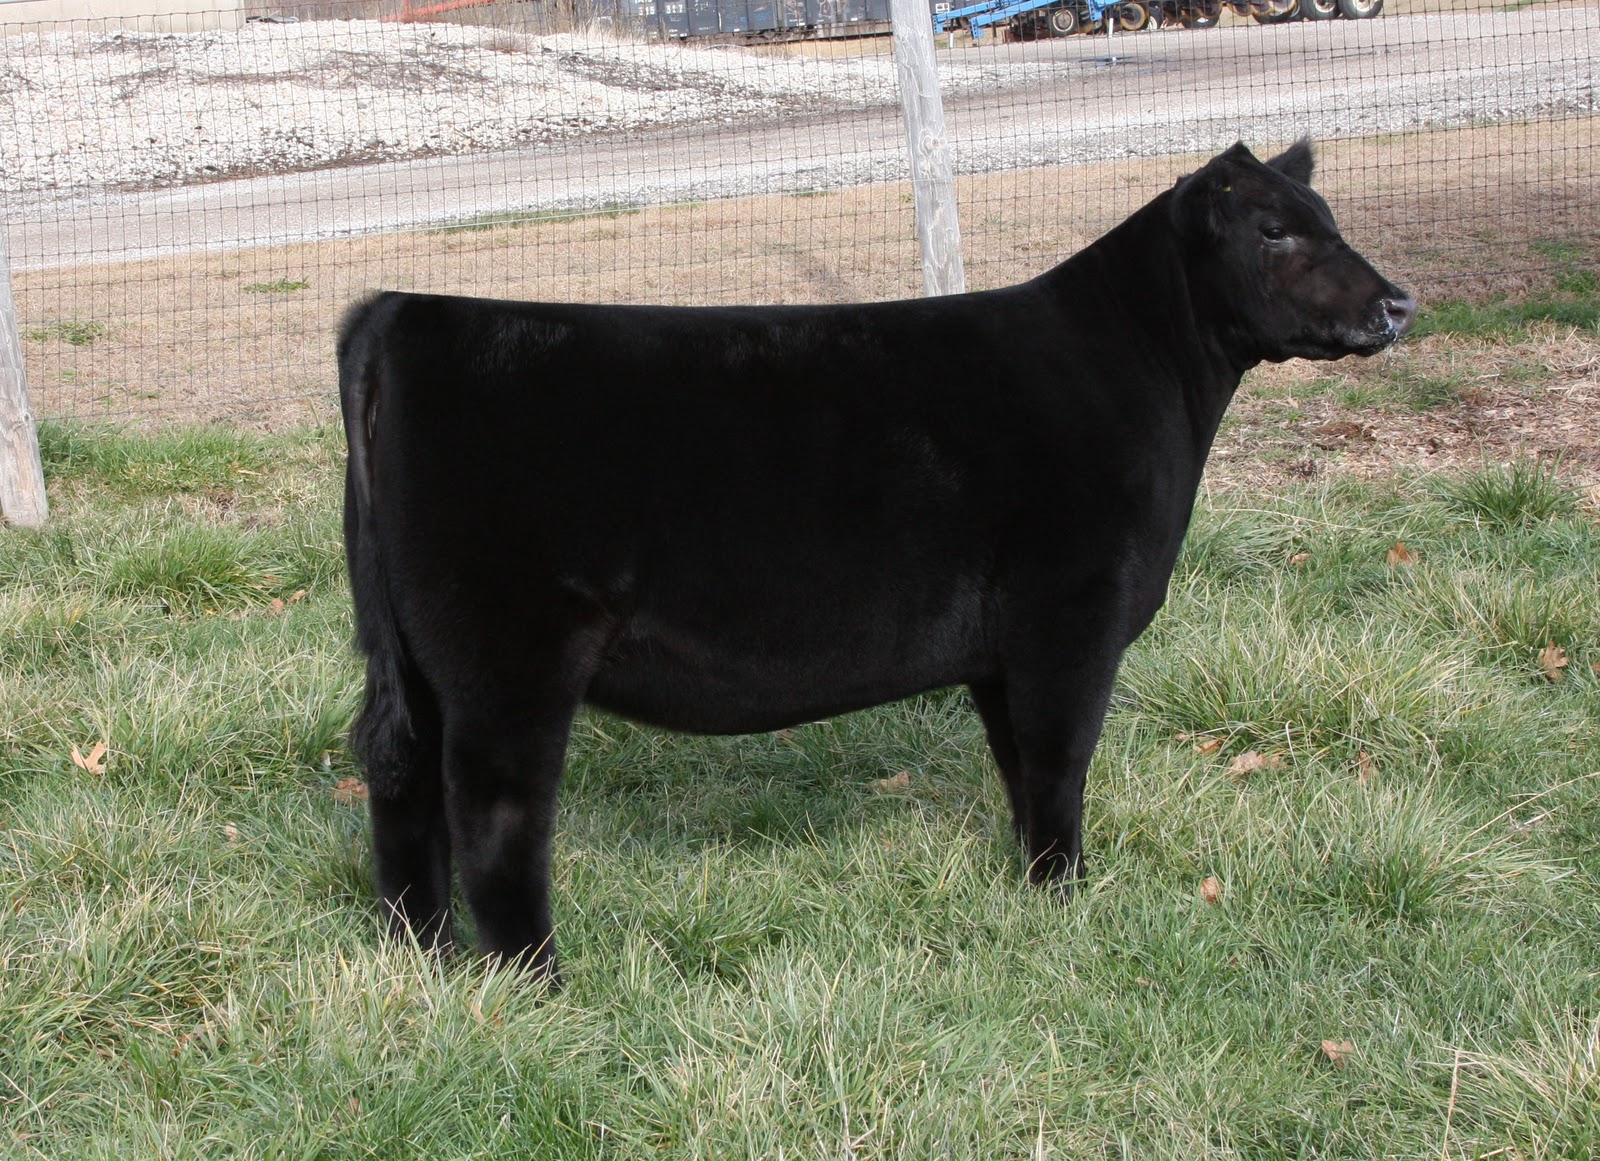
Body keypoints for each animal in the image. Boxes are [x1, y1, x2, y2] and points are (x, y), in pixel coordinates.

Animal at [338, 140, 1414, 981]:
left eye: (1327, 216)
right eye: (1273, 231)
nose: (1399, 302)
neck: (1141, 373)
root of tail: (403, 309)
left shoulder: (1000, 650)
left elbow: (1019, 768)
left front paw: (1032, 894)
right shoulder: (1072, 615)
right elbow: (1061, 762)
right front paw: (1068, 898)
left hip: (418, 658)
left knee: (401, 795)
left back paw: (419, 954)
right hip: (508, 654)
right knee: (492, 813)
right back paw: (536, 980)